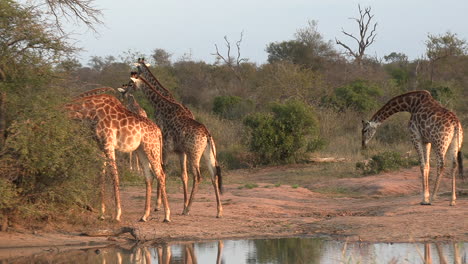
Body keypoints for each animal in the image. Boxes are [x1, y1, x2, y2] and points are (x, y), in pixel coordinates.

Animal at [64, 94, 170, 222]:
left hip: (152, 148)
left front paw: (117, 214)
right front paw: (102, 214)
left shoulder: (108, 144)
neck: (89, 113)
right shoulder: (101, 146)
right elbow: (101, 176)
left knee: (161, 174)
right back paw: (144, 215)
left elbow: (114, 175)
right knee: (149, 176)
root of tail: (159, 131)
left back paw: (167, 215)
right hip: (141, 150)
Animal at [126, 71, 223, 218]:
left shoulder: (166, 148)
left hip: (194, 154)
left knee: (198, 176)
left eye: (131, 83)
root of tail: (207, 135)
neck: (163, 106)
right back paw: (218, 211)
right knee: (213, 175)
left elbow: (163, 170)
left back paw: (188, 209)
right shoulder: (180, 152)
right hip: (208, 153)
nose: (124, 90)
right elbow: (182, 175)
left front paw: (158, 205)